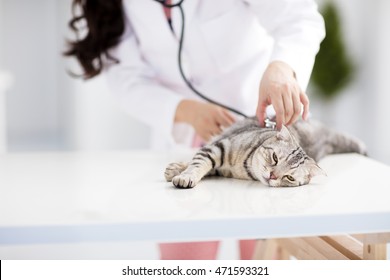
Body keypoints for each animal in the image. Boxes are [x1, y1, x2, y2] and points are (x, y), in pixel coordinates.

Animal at [166, 117, 368, 187]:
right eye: (275, 158)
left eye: (290, 177)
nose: (272, 176)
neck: (242, 168)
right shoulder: (218, 146)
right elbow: (198, 164)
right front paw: (184, 174)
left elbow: (203, 165)